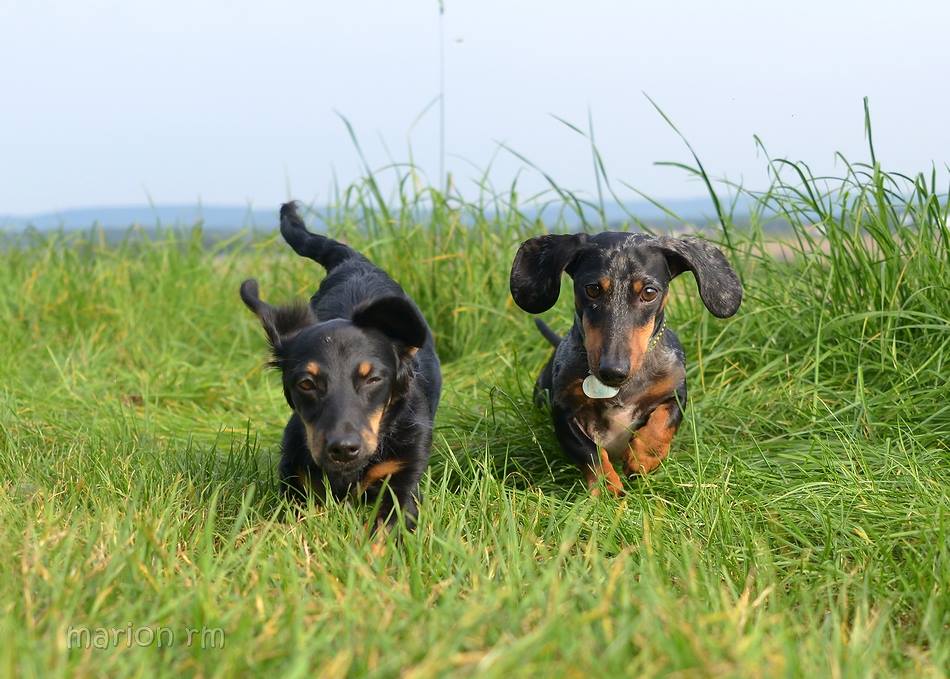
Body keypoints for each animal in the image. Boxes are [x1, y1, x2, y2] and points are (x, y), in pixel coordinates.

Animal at [242, 202, 442, 532]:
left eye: (373, 379)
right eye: (306, 383)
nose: (343, 449)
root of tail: (353, 261)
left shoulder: (403, 479)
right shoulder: (297, 479)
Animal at [512, 232, 744, 494]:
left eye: (650, 292)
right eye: (592, 289)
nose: (612, 371)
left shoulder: (675, 394)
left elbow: (664, 422)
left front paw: (643, 457)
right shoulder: (563, 411)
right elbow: (589, 452)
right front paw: (608, 489)